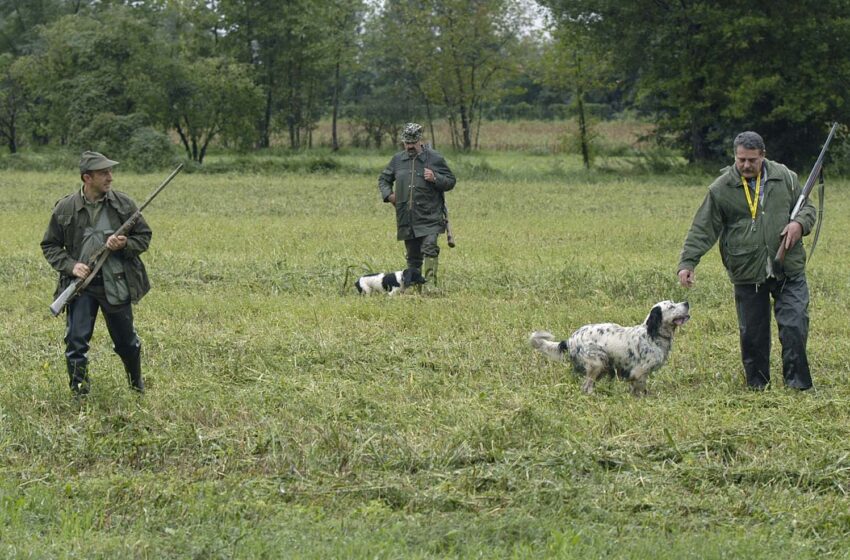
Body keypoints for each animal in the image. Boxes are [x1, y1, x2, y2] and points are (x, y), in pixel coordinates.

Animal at [528, 300, 688, 396]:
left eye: (674, 302)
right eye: (671, 306)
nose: (687, 302)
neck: (652, 335)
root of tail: (569, 340)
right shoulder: (639, 372)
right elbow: (639, 390)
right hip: (597, 362)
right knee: (586, 387)